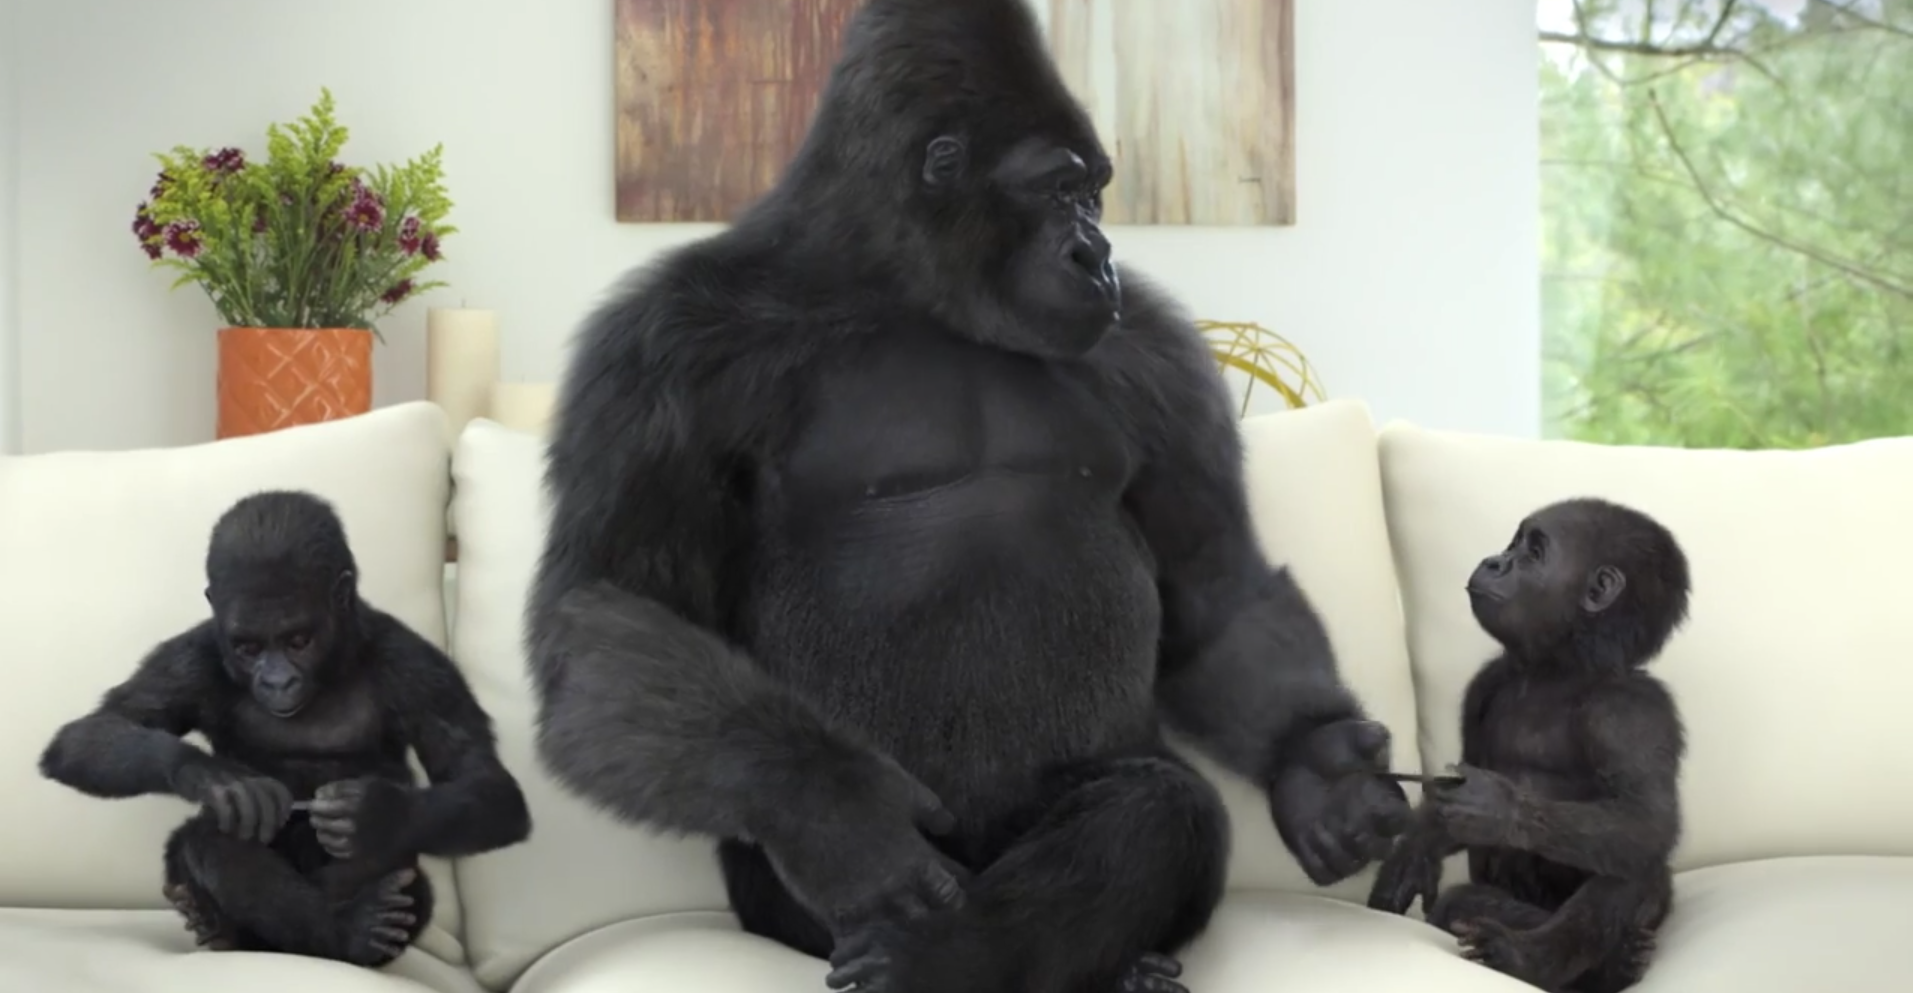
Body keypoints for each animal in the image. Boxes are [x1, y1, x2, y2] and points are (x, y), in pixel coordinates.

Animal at [39, 489, 531, 967]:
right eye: (248, 648)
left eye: (298, 641)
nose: (277, 681)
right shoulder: (191, 657)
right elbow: (95, 731)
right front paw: (216, 779)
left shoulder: (420, 669)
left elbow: (485, 784)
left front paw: (377, 813)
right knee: (215, 837)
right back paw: (298, 928)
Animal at [1367, 497, 1691, 993]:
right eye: (1512, 545)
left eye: (1534, 553)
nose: (1494, 562)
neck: (1558, 668)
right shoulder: (1484, 685)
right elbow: (1449, 793)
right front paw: (1415, 853)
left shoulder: (1633, 712)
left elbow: (1646, 819)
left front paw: (1499, 810)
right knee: (1463, 903)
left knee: (1633, 867)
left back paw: (1536, 958)